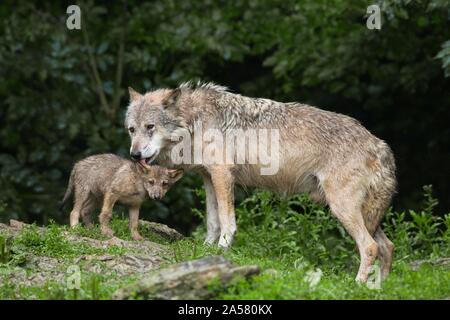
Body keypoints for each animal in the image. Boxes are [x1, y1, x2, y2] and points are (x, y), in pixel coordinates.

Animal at [125, 81, 396, 282]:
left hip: (342, 208)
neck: (193, 121)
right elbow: (212, 220)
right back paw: (377, 288)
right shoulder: (208, 177)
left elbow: (226, 220)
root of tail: (380, 145)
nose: (134, 155)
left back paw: (358, 284)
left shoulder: (222, 174)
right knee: (387, 246)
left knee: (370, 247)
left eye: (150, 127)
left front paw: (222, 248)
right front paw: (207, 249)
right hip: (364, 214)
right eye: (131, 129)